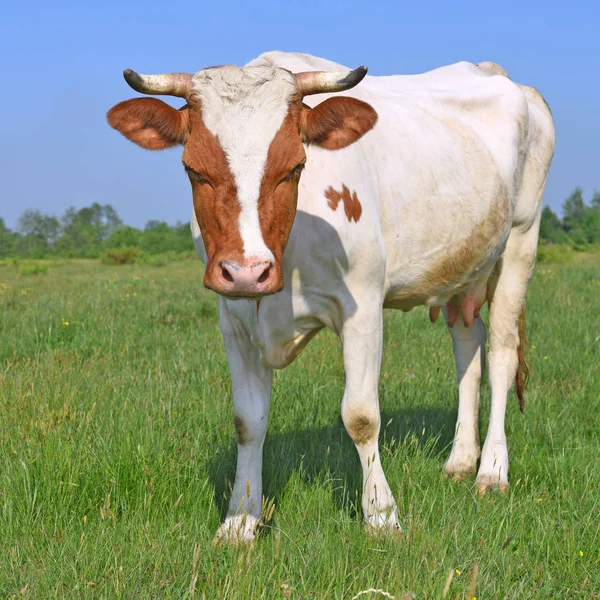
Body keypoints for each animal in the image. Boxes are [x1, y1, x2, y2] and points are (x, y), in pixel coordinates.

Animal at [106, 49, 552, 540]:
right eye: (193, 169)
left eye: (295, 167)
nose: (247, 273)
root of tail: (501, 75)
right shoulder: (234, 321)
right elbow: (247, 422)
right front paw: (240, 521)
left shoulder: (363, 309)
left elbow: (361, 415)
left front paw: (381, 515)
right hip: (462, 268)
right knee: (468, 350)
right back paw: (459, 461)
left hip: (521, 240)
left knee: (501, 355)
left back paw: (491, 470)